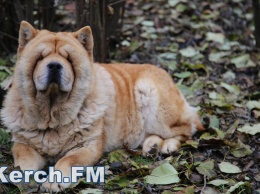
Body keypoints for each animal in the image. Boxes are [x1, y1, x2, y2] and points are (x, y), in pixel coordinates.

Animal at [1, 20, 204, 191]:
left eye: (69, 59)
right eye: (40, 58)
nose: (54, 66)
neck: (52, 111)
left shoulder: (87, 146)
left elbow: (68, 160)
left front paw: (54, 181)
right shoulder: (23, 143)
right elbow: (23, 158)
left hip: (151, 96)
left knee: (186, 129)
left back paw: (167, 145)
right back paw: (151, 146)